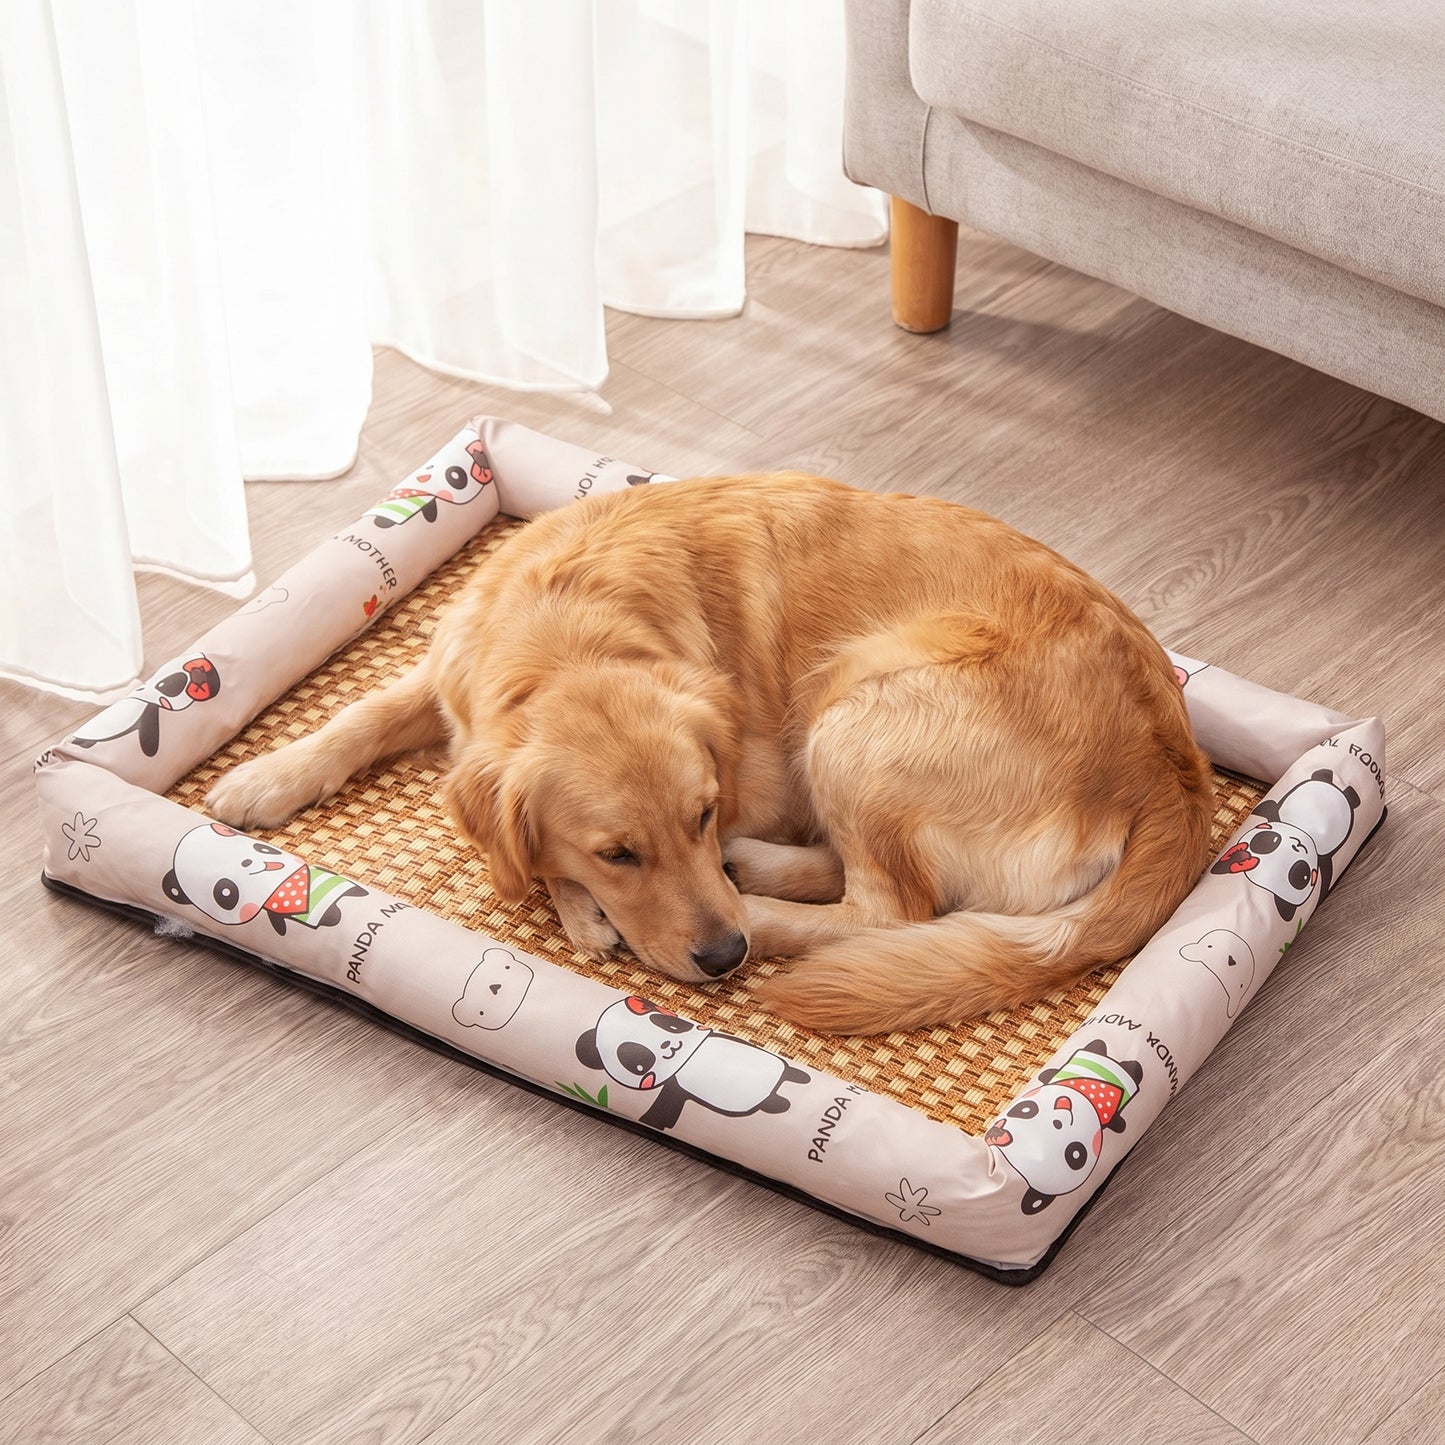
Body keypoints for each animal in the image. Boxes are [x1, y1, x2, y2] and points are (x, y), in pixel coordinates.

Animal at [575, 996, 810, 1132]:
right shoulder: (675, 1089)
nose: (668, 1045)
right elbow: (663, 1112)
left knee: (788, 1074)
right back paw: (780, 1103)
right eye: (639, 1065)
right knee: (776, 1101)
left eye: (672, 1025)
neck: (688, 1060)